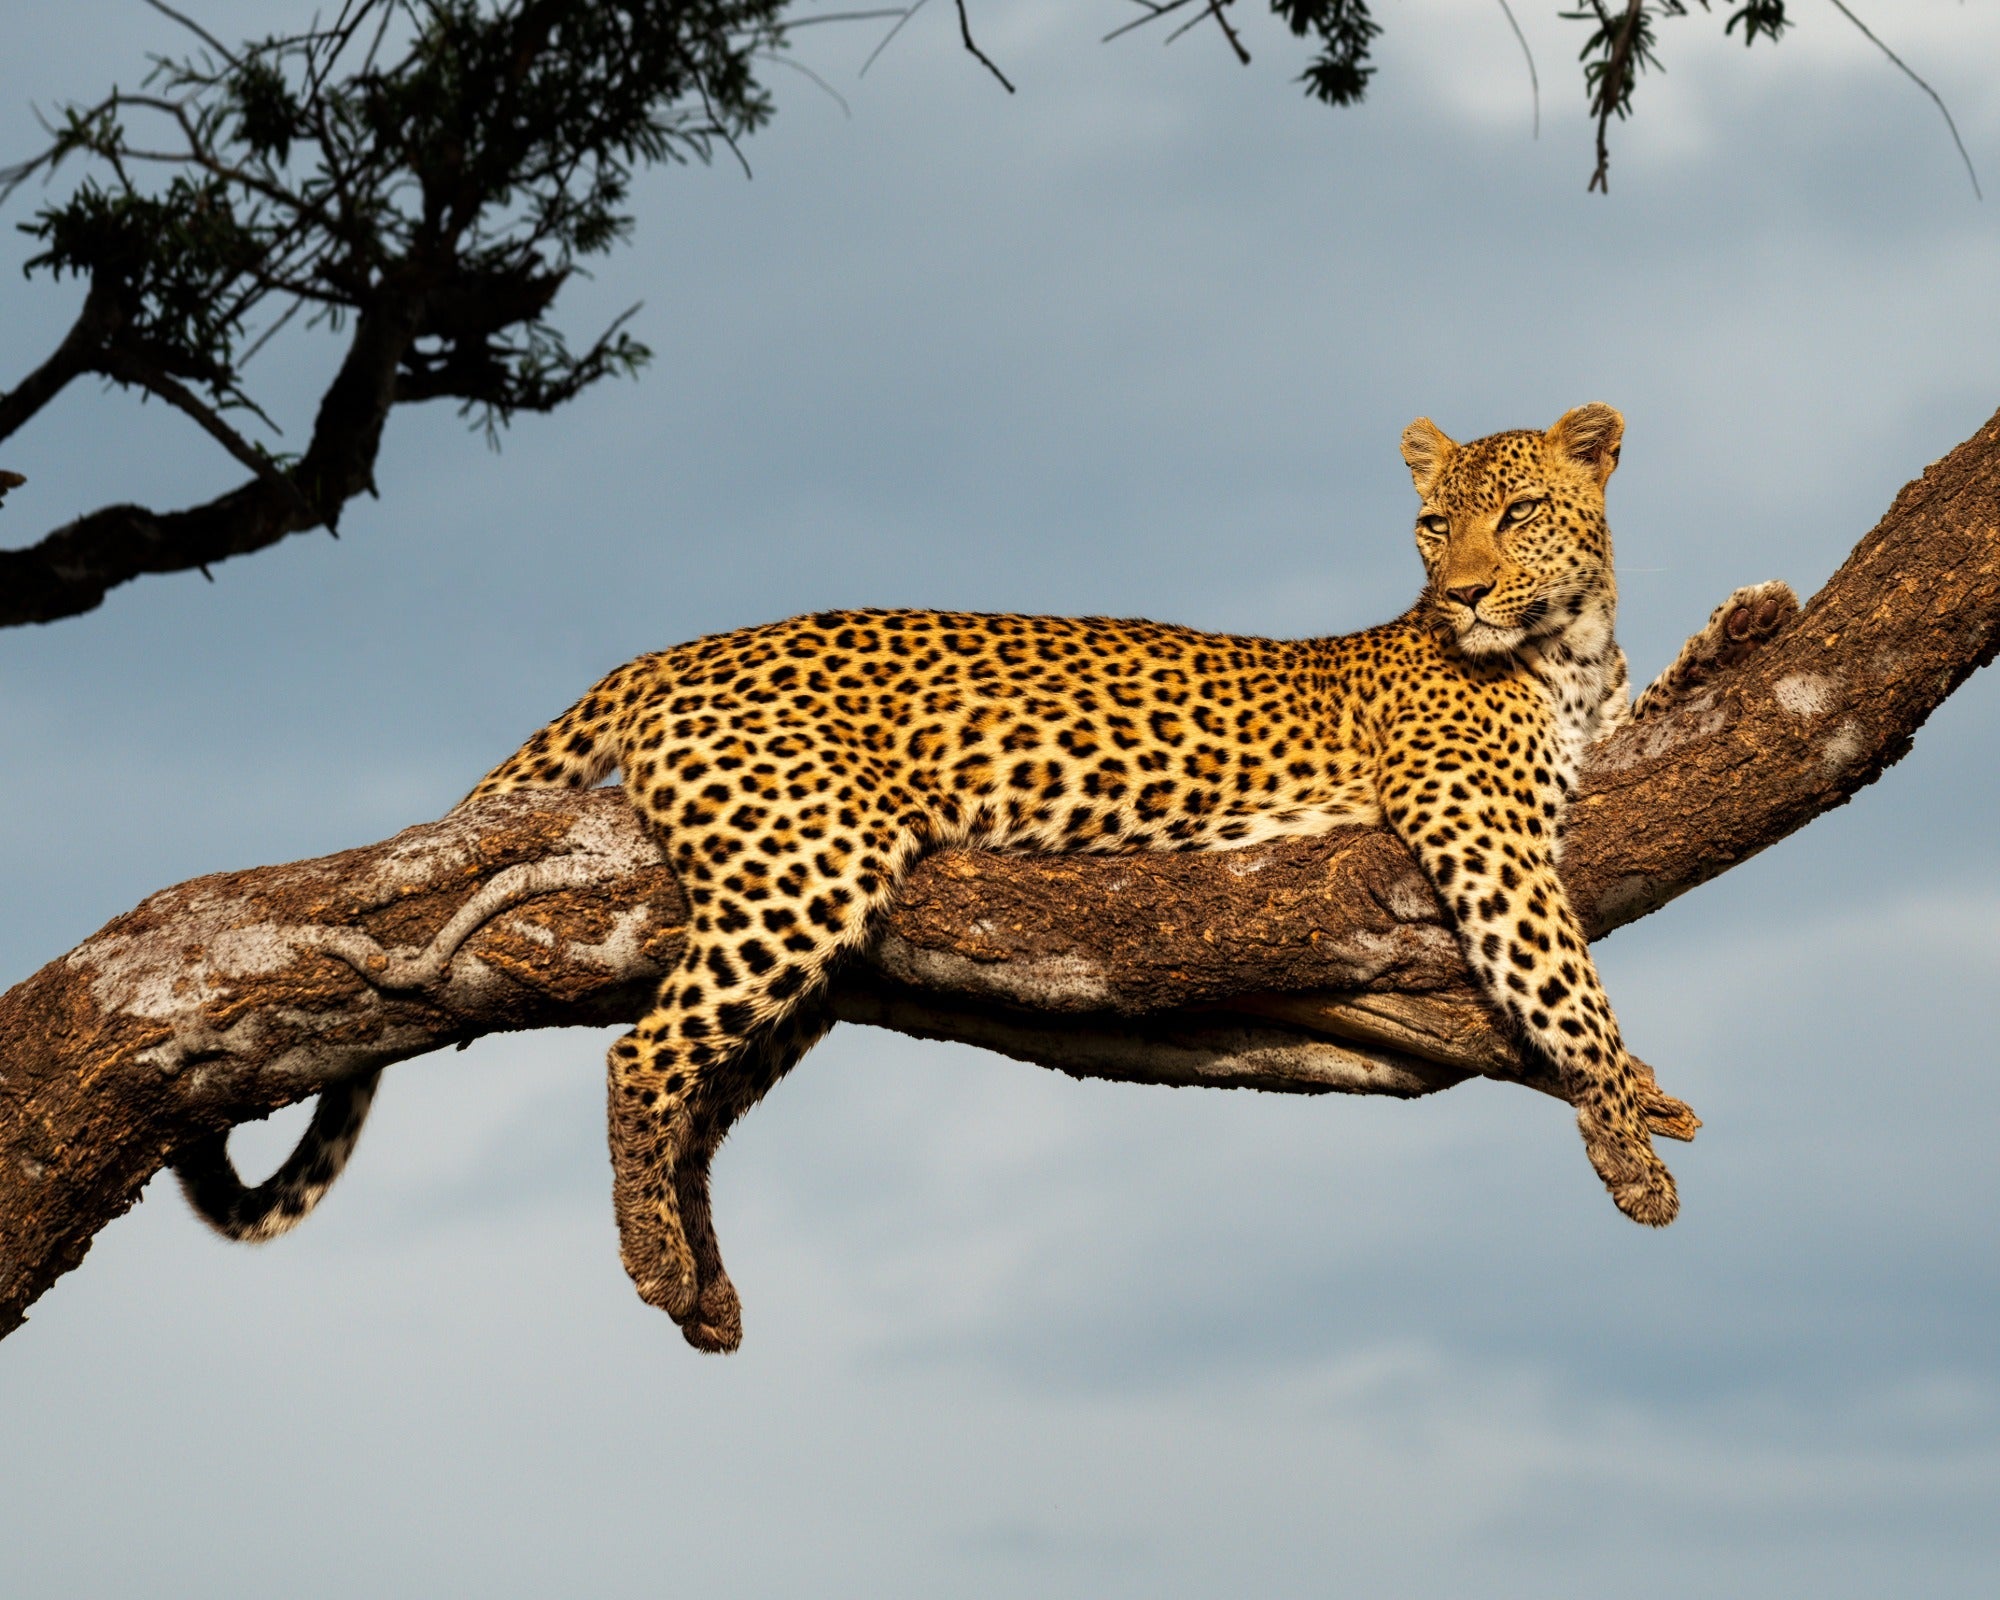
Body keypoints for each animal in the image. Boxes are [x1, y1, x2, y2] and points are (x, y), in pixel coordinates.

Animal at [175, 403, 1797, 1353]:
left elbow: (1665, 712)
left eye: (1513, 514)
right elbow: (1562, 982)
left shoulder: (1586, 754)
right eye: (1428, 520)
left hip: (812, 927)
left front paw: (1754, 615)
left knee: (703, 1089)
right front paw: (1632, 1132)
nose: (1458, 588)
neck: (1563, 644)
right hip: (810, 860)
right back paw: (647, 1262)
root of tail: (668, 650)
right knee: (641, 1058)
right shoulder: (1479, 829)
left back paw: (702, 1283)